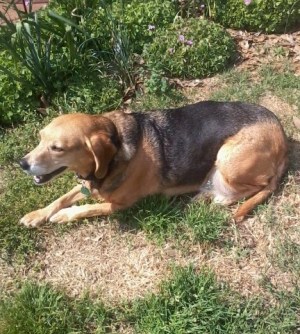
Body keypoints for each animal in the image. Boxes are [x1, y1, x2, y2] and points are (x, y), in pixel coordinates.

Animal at [19, 101, 288, 227]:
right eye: (40, 138)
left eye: (58, 148)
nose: (22, 163)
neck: (117, 140)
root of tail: (282, 136)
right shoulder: (89, 184)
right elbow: (61, 198)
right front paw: (37, 214)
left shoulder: (121, 205)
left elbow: (86, 208)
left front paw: (65, 215)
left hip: (227, 158)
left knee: (261, 186)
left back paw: (221, 197)